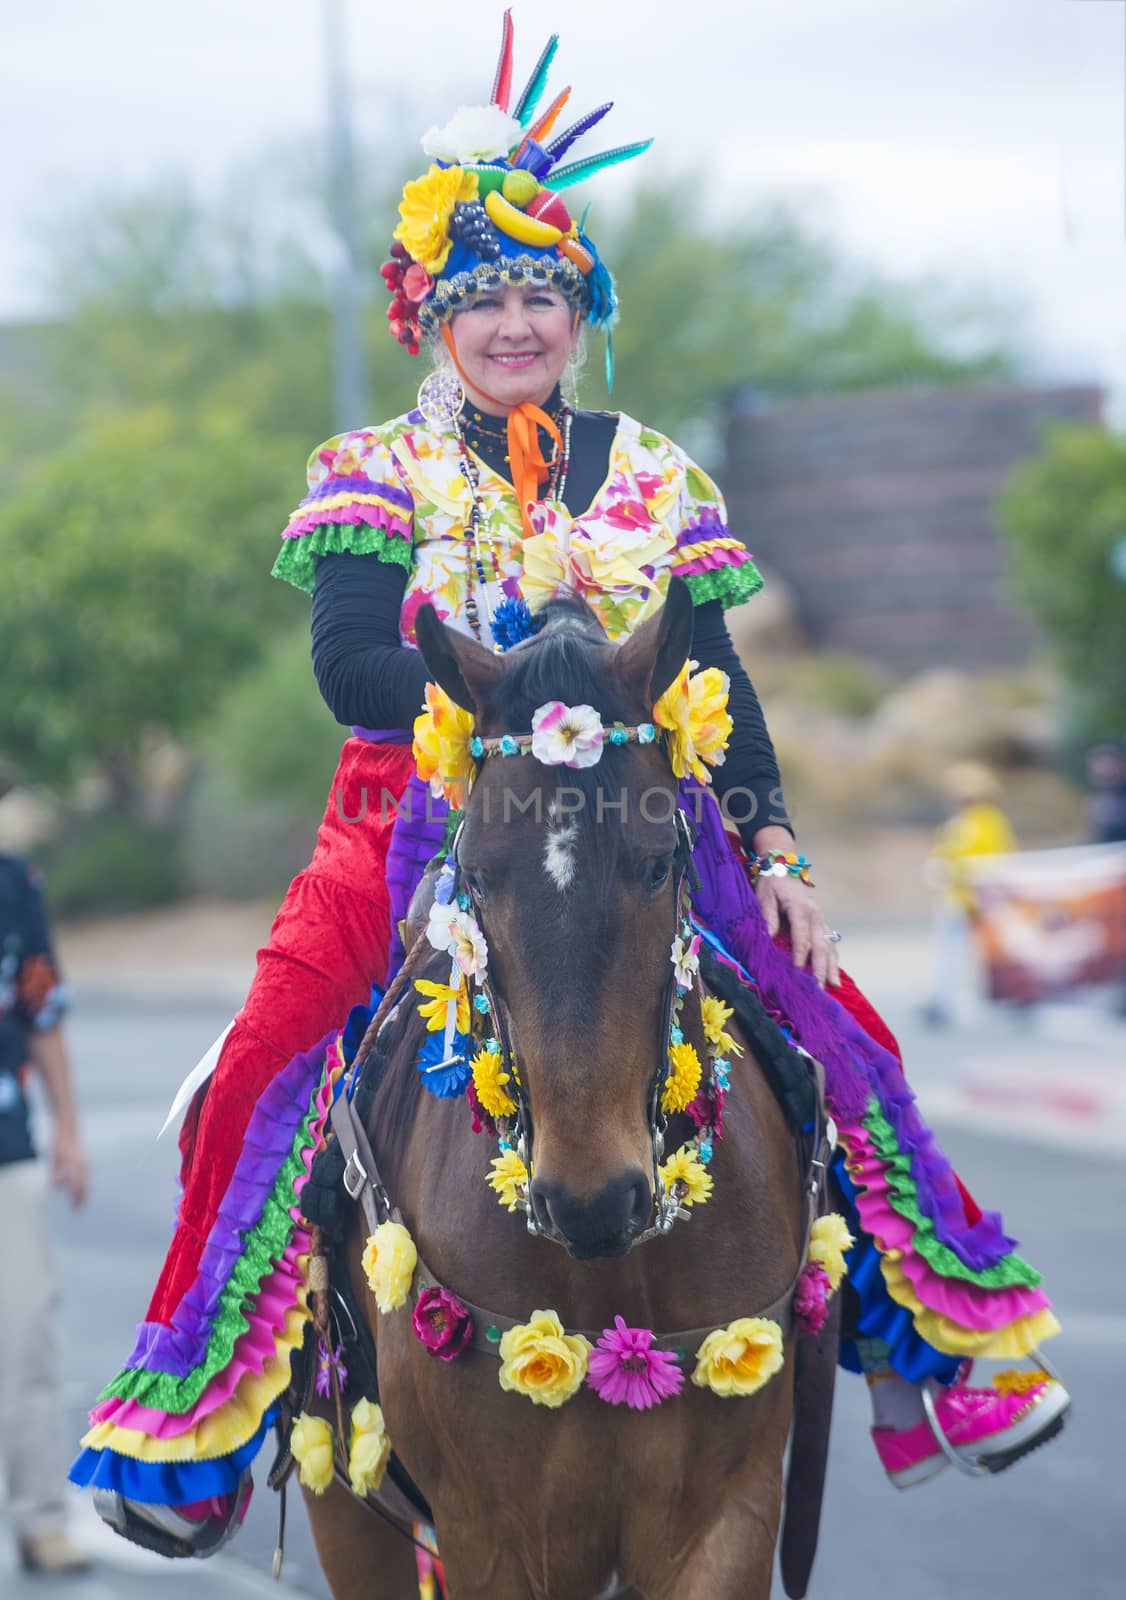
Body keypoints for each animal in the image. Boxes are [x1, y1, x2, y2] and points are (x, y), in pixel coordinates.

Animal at [305, 588, 818, 1600]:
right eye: (477, 874)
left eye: (660, 861)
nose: (592, 1198)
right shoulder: (492, 1538)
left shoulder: (728, 1520)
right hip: (345, 1501)